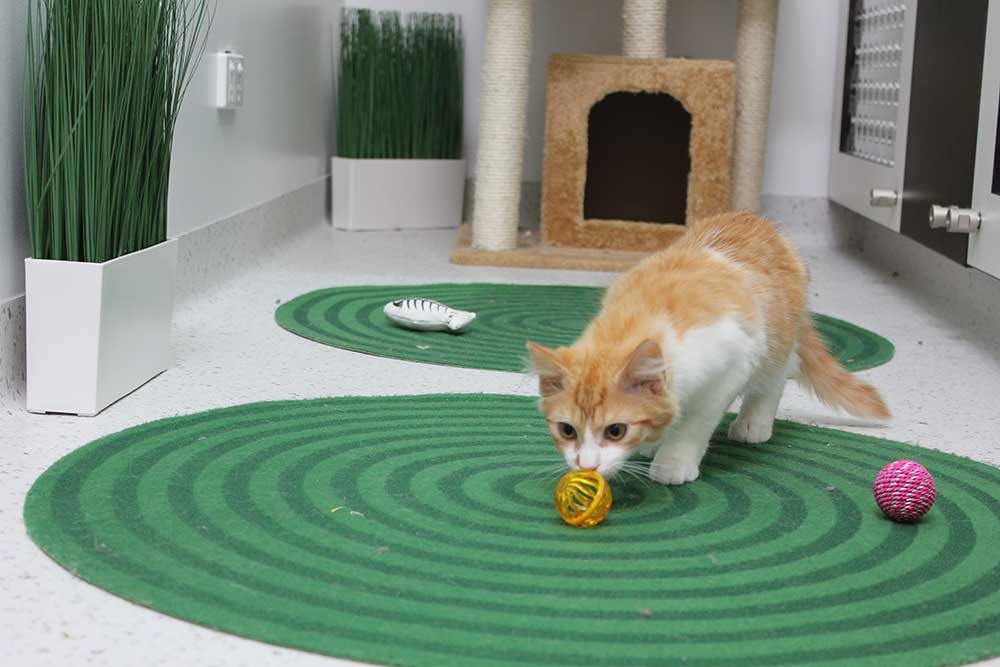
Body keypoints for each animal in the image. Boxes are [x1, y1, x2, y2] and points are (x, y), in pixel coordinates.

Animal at [528, 213, 888, 486]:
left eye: (616, 431)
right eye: (567, 430)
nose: (586, 465)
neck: (638, 319)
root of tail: (757, 220)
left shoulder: (733, 363)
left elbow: (695, 420)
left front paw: (673, 460)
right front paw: (655, 442)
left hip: (778, 339)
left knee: (777, 374)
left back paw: (754, 423)